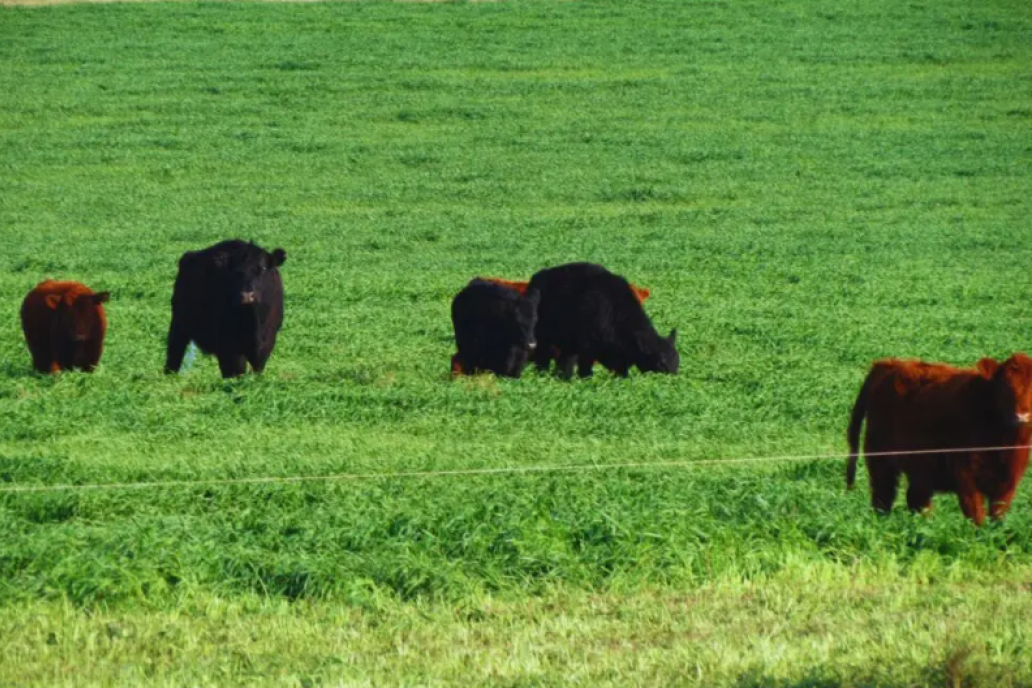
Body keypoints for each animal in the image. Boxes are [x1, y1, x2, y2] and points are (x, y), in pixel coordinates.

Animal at [165, 237, 286, 377]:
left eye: (263, 268)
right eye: (236, 272)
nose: (247, 295)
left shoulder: (267, 341)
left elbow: (257, 369)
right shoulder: (228, 344)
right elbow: (236, 371)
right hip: (178, 324)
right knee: (174, 353)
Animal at [524, 264, 676, 381]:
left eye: (676, 362)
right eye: (661, 363)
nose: (674, 379)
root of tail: (536, 279)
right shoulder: (586, 348)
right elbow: (585, 370)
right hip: (543, 339)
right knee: (542, 359)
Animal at [842, 354, 1032, 528]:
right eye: (1005, 387)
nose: (1022, 416)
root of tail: (888, 364)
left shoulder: (1009, 481)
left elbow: (997, 515)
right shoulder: (966, 476)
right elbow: (976, 515)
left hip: (920, 467)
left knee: (916, 499)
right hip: (881, 460)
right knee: (883, 497)